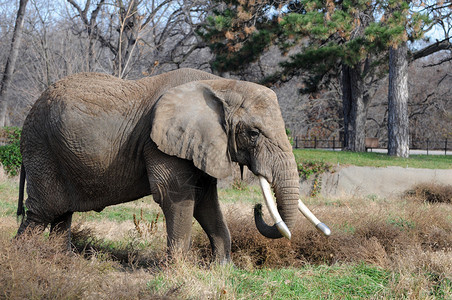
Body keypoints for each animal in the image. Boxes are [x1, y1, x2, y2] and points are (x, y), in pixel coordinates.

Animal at [15, 68, 330, 262]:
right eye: (253, 133)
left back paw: (62, 261)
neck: (221, 85)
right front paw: (179, 269)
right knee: (42, 212)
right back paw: (26, 260)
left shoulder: (199, 144)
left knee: (61, 213)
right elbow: (177, 197)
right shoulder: (161, 143)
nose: (256, 208)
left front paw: (222, 268)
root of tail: (27, 114)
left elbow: (205, 201)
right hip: (42, 148)